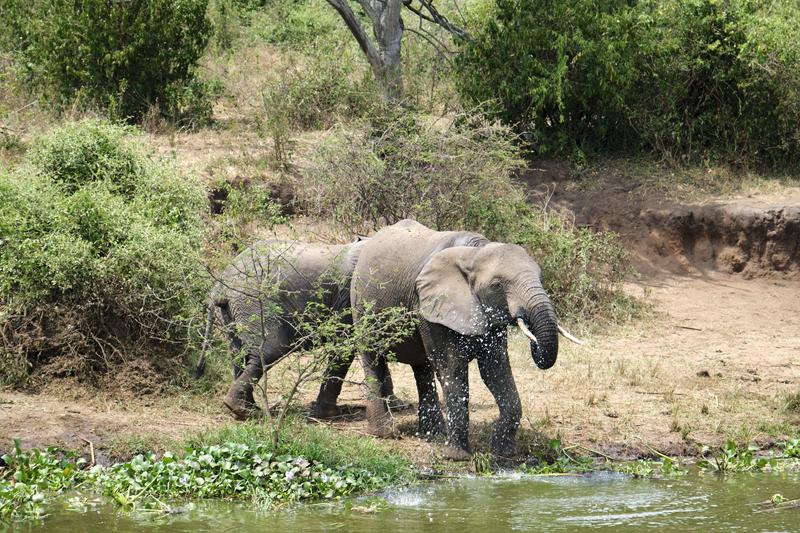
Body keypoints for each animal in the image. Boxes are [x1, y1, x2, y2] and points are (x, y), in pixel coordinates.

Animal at [195, 240, 400, 420]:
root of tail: (220, 285)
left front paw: (396, 406)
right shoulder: (349, 297)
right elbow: (345, 346)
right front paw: (330, 415)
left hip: (231, 311)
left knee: (239, 355)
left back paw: (245, 409)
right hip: (252, 301)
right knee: (269, 350)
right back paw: (243, 410)